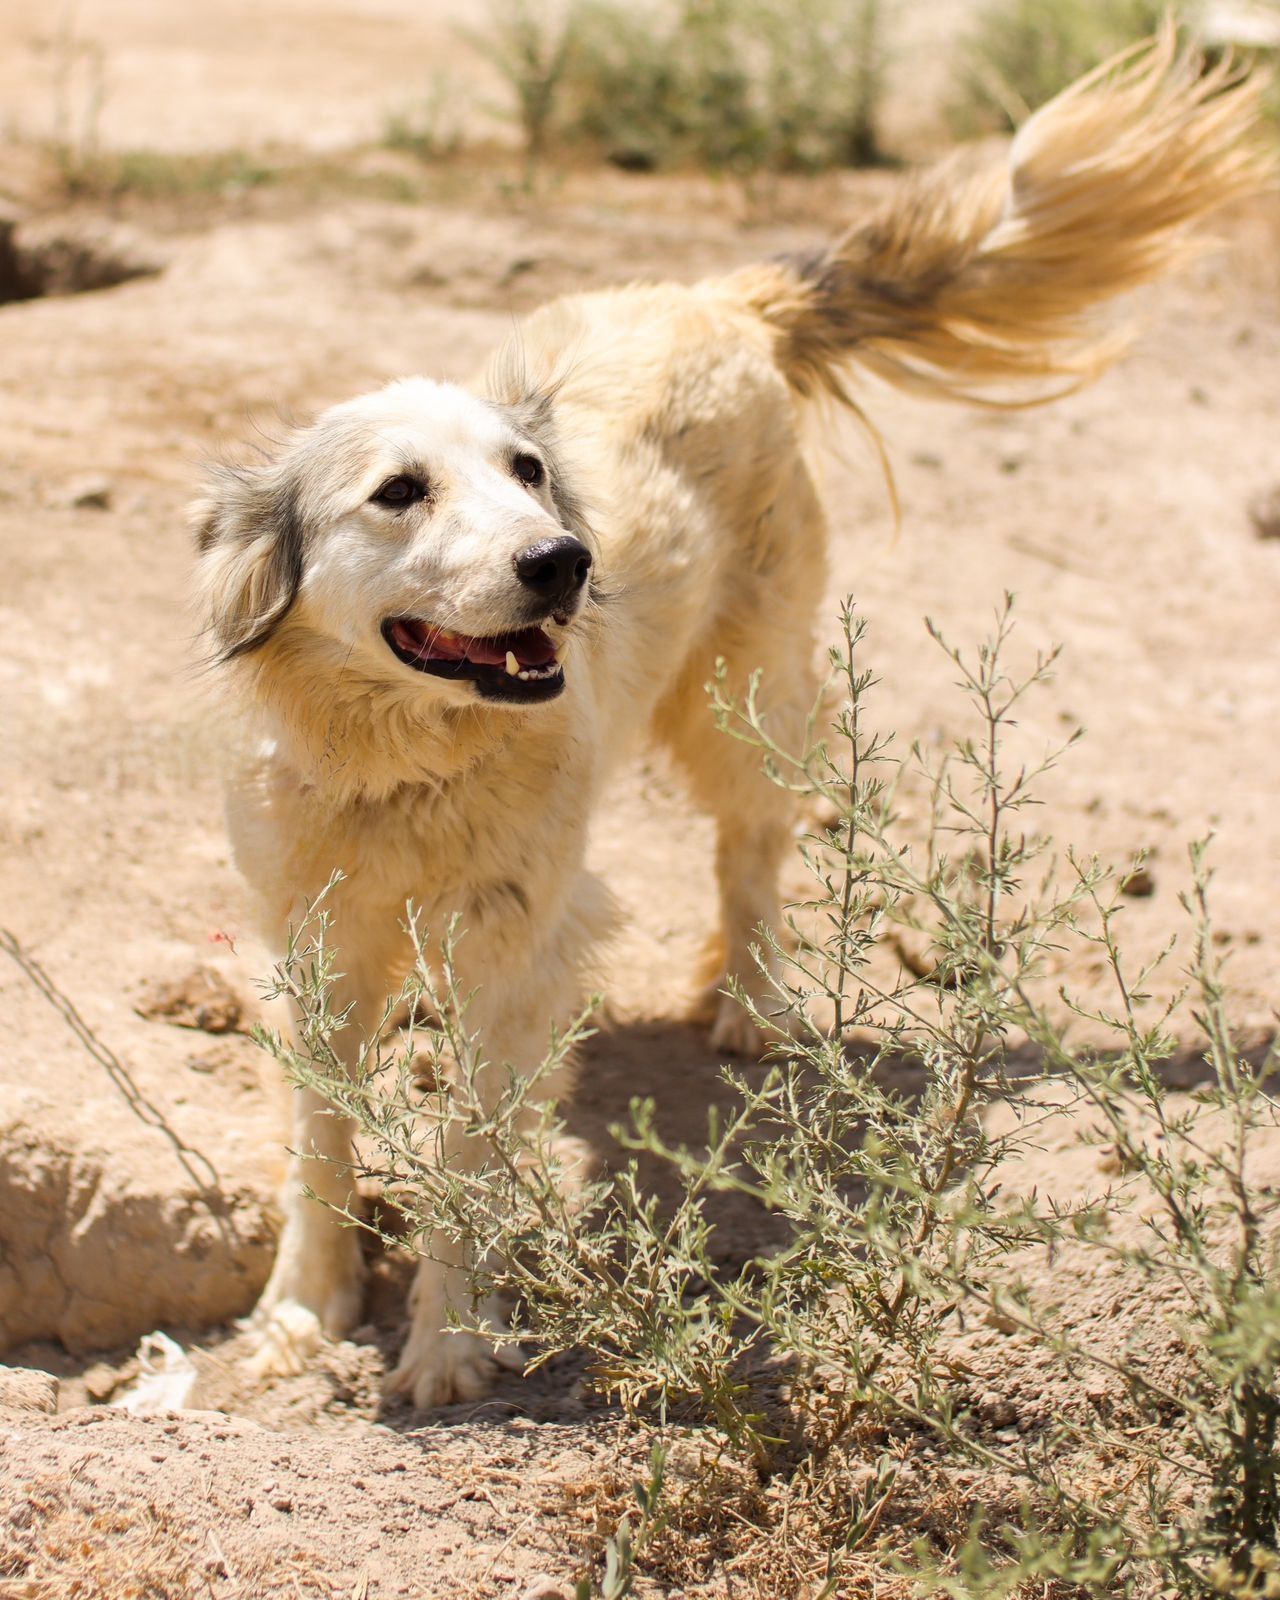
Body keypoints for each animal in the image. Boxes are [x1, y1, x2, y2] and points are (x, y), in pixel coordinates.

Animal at [195, 37, 1267, 1408]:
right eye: (398, 491)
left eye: (525, 472)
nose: (565, 561)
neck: (402, 760)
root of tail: (719, 296)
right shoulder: (315, 938)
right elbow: (319, 1141)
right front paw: (299, 1310)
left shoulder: (508, 947)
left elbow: (466, 1159)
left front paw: (448, 1339)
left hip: (740, 696)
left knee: (752, 846)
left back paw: (752, 1002)